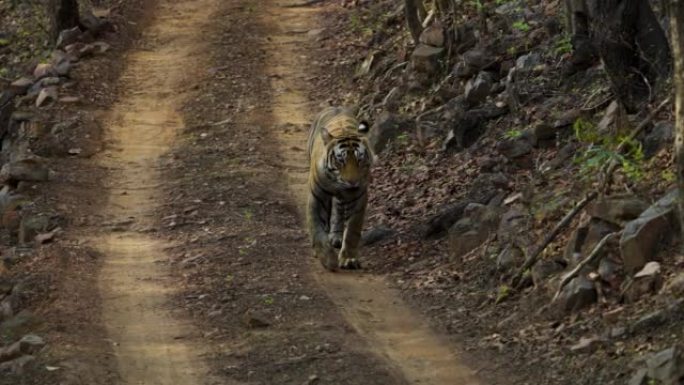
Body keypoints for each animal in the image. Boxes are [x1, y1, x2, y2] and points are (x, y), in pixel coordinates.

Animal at [308, 106, 374, 270]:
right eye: (340, 161)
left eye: (359, 160)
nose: (352, 181)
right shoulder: (317, 197)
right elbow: (317, 227)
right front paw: (326, 257)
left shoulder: (359, 197)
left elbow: (352, 231)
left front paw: (348, 258)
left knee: (337, 210)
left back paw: (336, 236)